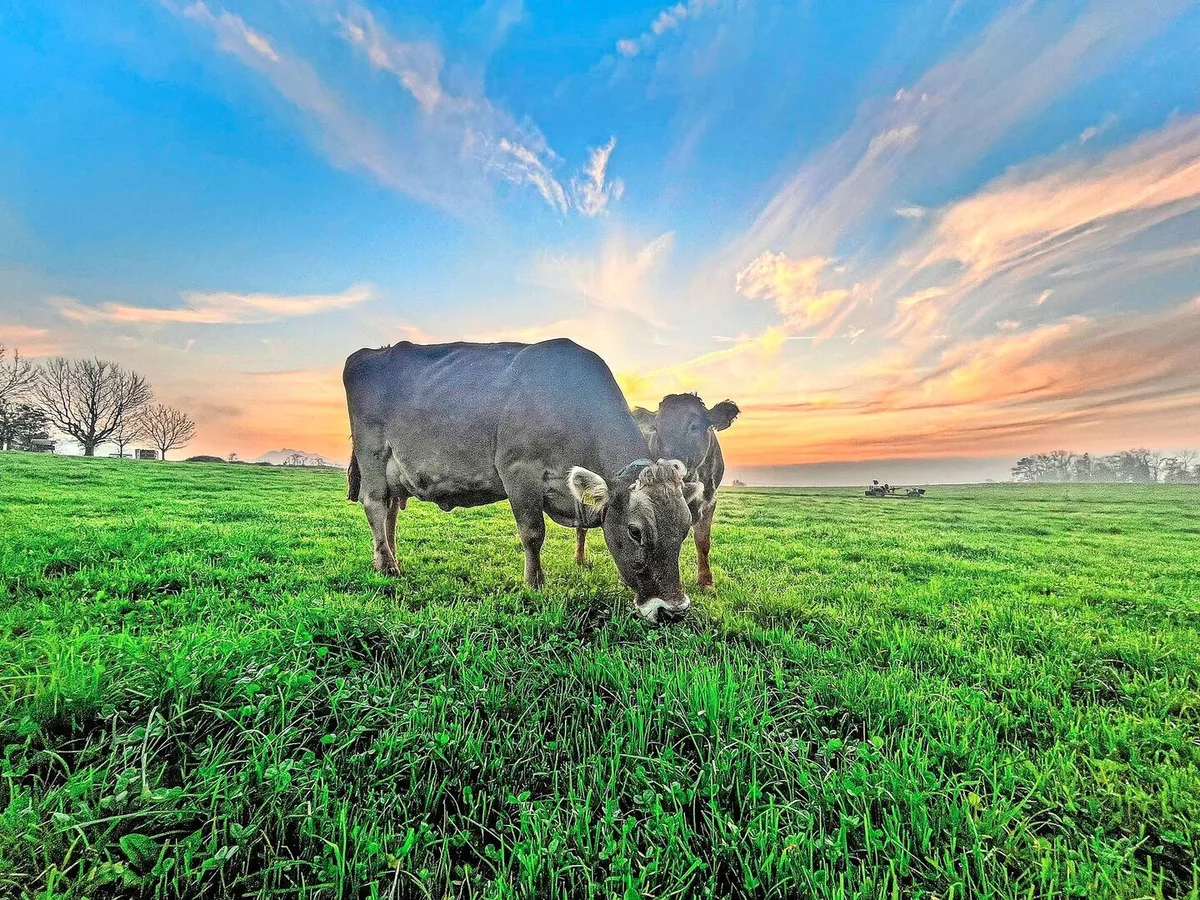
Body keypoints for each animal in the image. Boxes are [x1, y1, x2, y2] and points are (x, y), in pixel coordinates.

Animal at [343, 339, 707, 623]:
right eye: (635, 531)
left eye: (684, 528)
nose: (672, 611)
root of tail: (371, 352)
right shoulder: (518, 470)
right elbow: (533, 533)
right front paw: (535, 584)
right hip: (373, 453)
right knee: (376, 504)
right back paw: (387, 567)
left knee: (391, 511)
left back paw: (389, 557)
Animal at [576, 393, 739, 588]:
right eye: (656, 428)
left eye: (694, 426)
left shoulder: (709, 500)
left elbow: (702, 541)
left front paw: (706, 582)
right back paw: (581, 559)